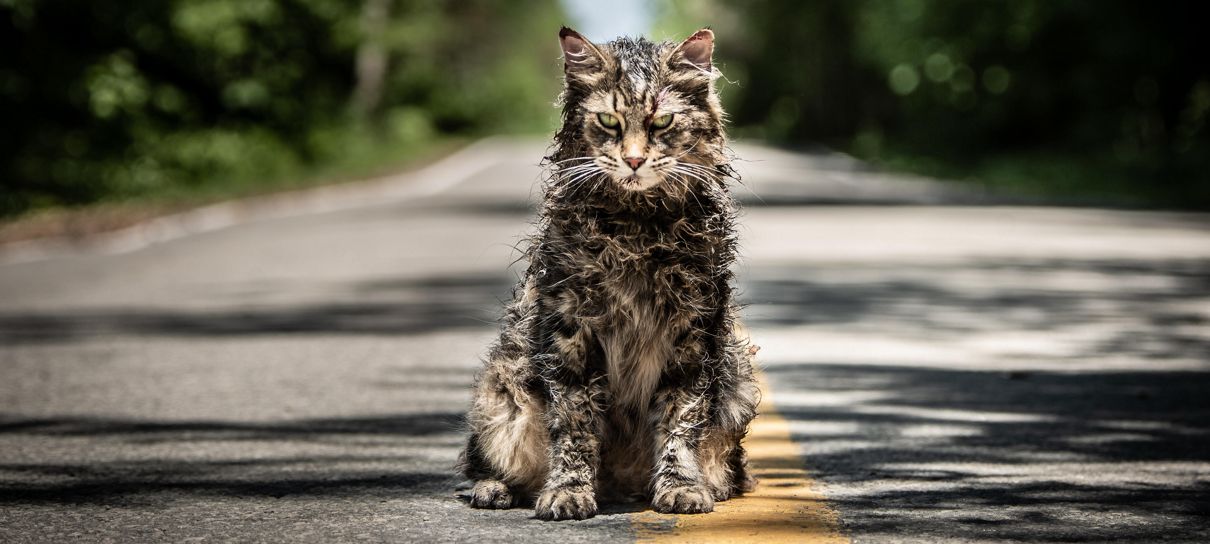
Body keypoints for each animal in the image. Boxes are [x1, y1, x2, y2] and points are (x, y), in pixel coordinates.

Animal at [459, 27, 755, 519]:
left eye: (661, 123)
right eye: (609, 122)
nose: (633, 161)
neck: (636, 229)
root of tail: (620, 486)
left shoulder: (693, 333)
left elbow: (680, 420)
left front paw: (680, 486)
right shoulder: (570, 332)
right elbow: (575, 425)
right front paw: (568, 491)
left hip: (738, 385)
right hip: (501, 390)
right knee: (487, 462)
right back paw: (495, 489)